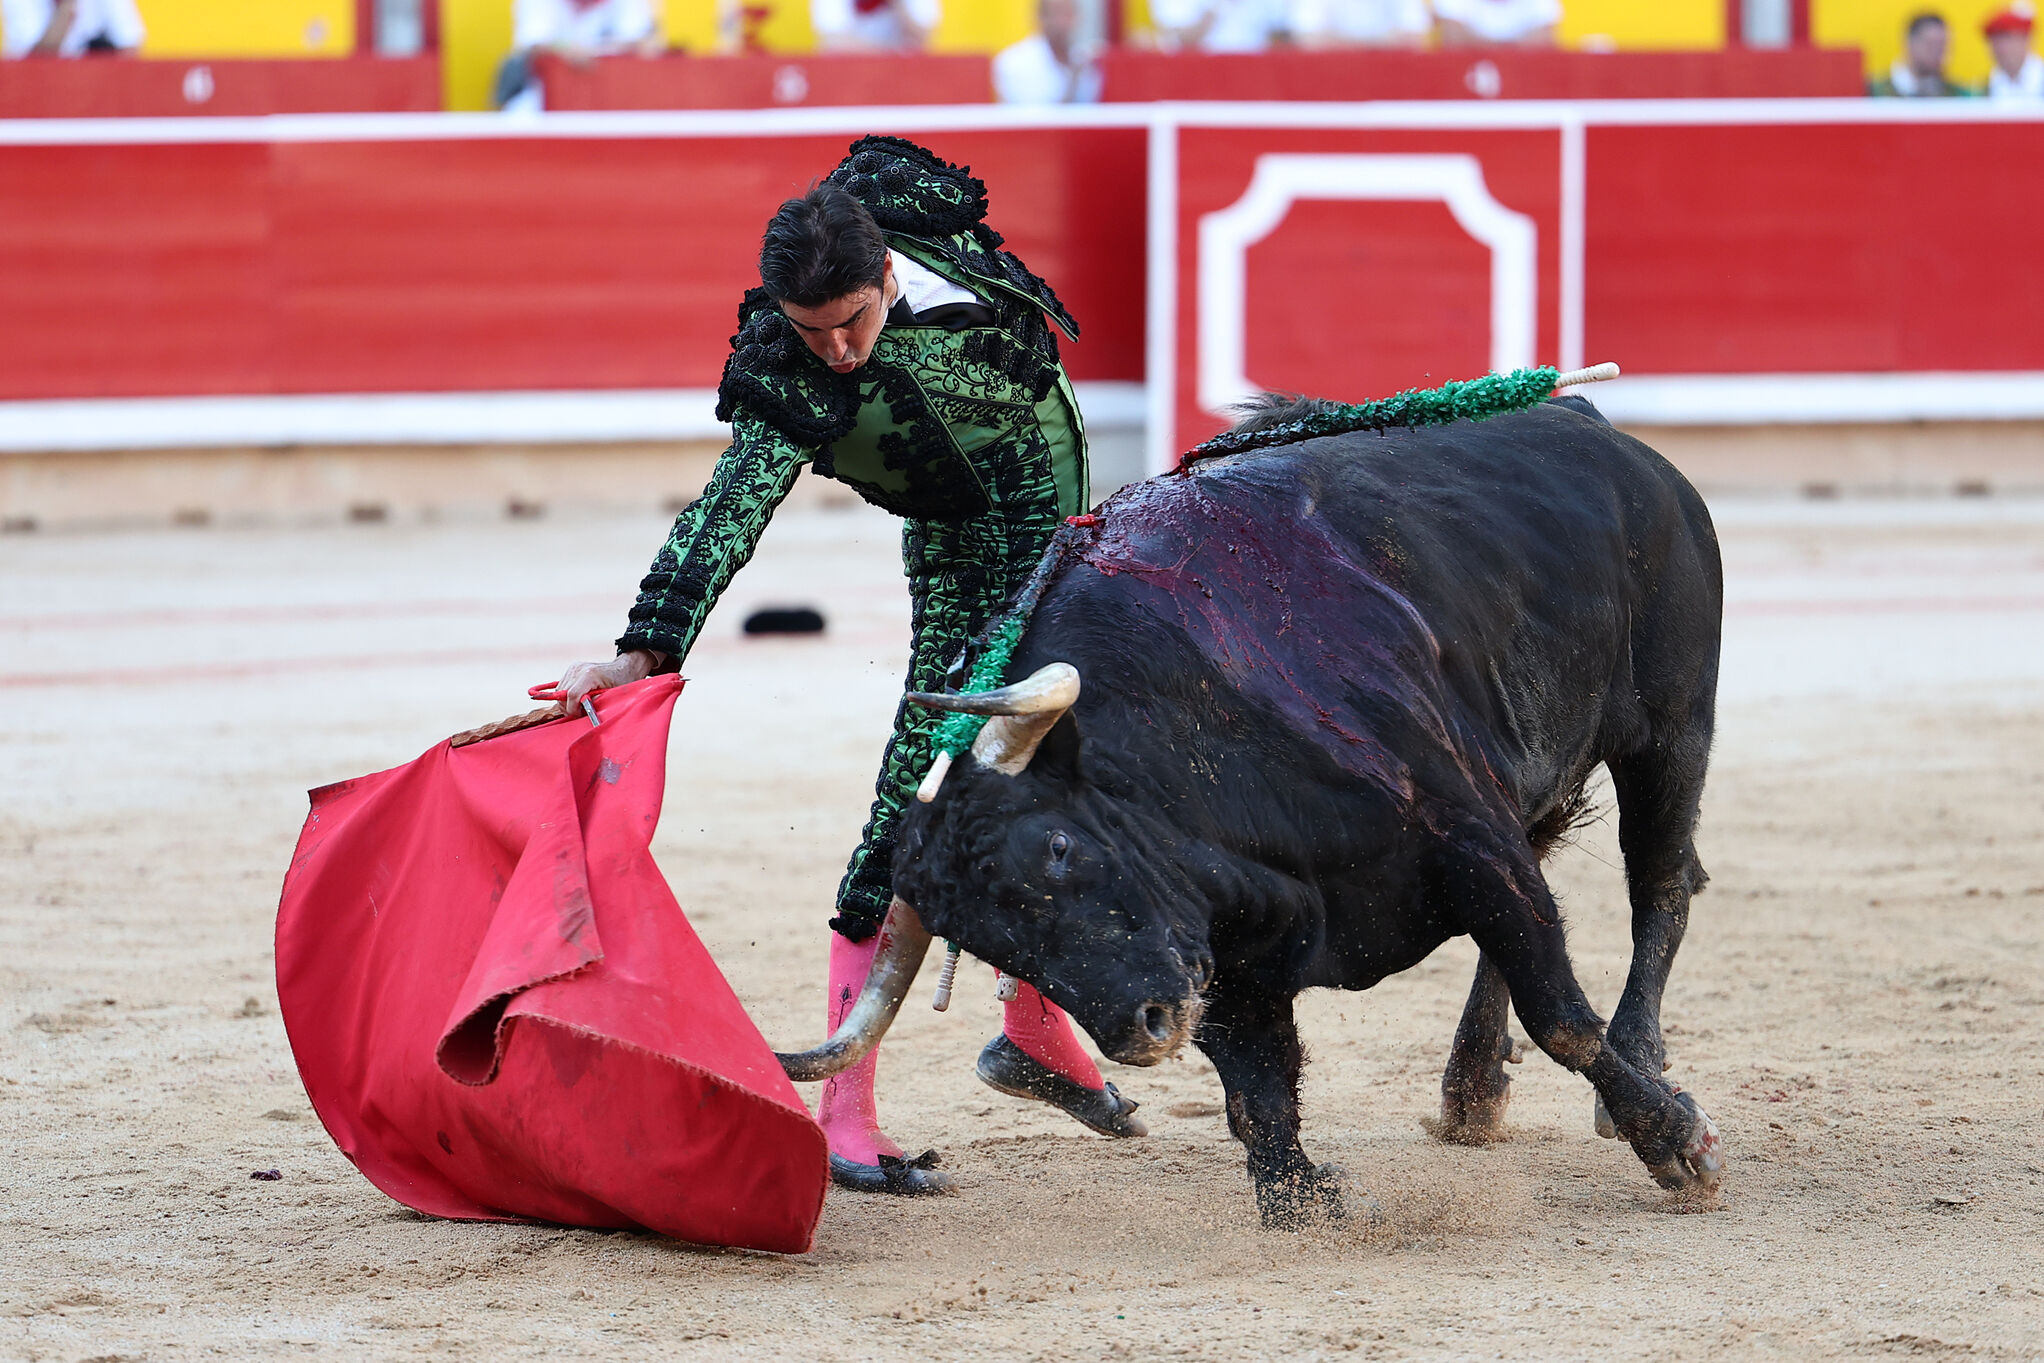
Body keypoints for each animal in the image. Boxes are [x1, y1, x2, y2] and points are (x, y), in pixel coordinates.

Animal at [895, 394, 1725, 1226]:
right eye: (992, 946)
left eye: (1059, 846)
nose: (1141, 1029)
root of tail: (1589, 420)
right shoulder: (1227, 963)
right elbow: (1257, 1095)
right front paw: (1306, 1202)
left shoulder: (1468, 835)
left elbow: (1557, 1012)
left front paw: (1678, 1146)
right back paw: (1472, 1089)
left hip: (1672, 727)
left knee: (1663, 882)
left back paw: (1633, 1065)